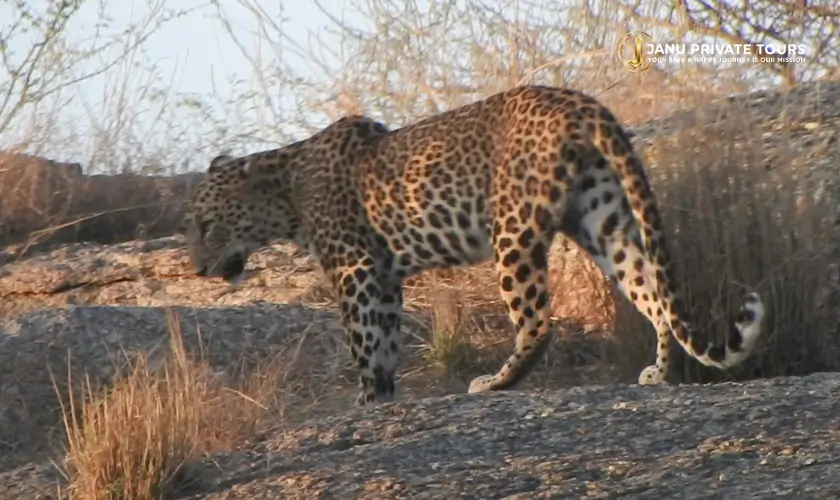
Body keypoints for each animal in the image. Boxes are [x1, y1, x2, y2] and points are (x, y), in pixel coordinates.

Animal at [181, 85, 765, 406]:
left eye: (207, 225)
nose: (199, 269)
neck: (286, 190)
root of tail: (579, 102)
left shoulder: (356, 270)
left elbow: (363, 343)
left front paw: (366, 400)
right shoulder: (384, 277)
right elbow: (384, 342)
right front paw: (383, 397)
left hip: (513, 228)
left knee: (538, 322)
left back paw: (494, 383)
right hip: (601, 219)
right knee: (652, 290)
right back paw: (659, 374)